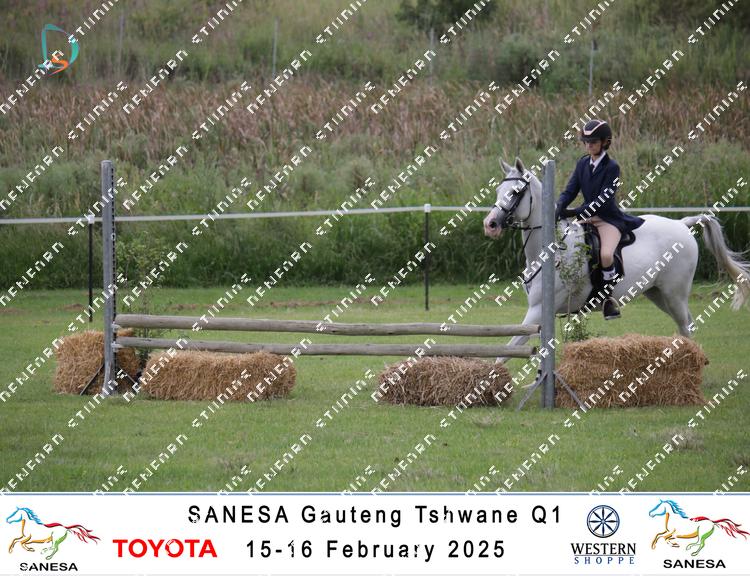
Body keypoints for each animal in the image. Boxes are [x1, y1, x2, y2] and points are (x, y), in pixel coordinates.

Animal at [483, 157, 750, 364]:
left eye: (516, 193)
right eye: (497, 191)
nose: (490, 224)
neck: (552, 249)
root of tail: (682, 224)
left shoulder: (537, 311)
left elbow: (505, 352)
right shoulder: (541, 314)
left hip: (674, 294)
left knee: (685, 327)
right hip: (658, 294)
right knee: (688, 325)